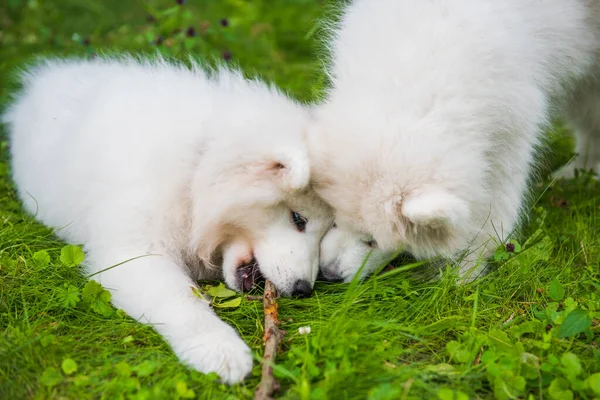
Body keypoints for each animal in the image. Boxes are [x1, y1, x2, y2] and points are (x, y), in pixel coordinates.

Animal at [2, 56, 332, 384]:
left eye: (325, 234)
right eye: (298, 218)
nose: (304, 290)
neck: (195, 167)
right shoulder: (135, 252)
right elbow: (181, 298)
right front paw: (220, 348)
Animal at [312, 0, 596, 282]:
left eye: (372, 241)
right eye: (332, 219)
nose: (329, 274)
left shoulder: (510, 134)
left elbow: (494, 213)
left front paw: (464, 275)